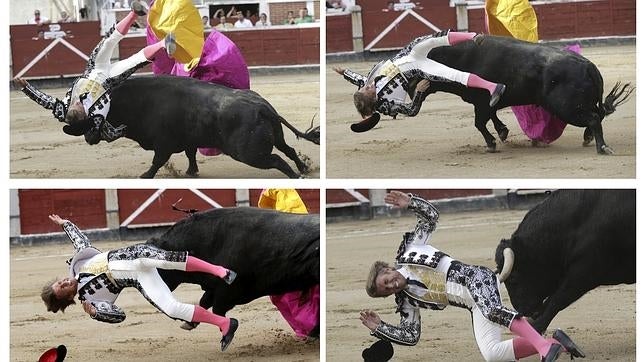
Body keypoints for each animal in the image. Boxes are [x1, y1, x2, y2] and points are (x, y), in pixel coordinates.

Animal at [73, 76, 320, 178]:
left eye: (94, 116)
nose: (87, 137)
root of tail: (263, 107)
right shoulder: (188, 139)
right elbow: (190, 154)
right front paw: (192, 172)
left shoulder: (163, 143)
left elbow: (157, 161)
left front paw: (145, 176)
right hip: (276, 136)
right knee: (288, 150)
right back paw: (303, 169)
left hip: (249, 153)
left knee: (277, 159)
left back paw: (296, 177)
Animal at [410, 34, 632, 153]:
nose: (411, 98)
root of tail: (587, 65)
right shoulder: (487, 101)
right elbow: (491, 116)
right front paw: (502, 132)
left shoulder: (481, 102)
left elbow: (479, 122)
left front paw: (491, 144)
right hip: (581, 104)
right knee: (598, 115)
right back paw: (588, 138)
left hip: (567, 108)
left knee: (594, 118)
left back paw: (602, 148)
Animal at [496, 189, 636, 334]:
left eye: (513, 278)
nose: (522, 312)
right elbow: (551, 300)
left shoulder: (584, 272)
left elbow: (557, 300)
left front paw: (535, 329)